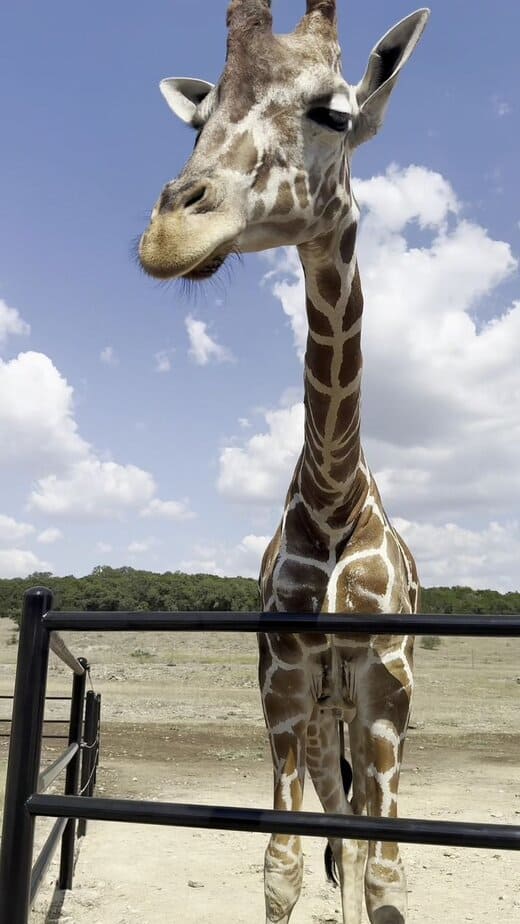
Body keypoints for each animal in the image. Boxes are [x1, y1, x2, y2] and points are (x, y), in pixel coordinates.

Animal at [139, 3, 430, 922]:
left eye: (333, 113)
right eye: (198, 118)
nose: (170, 233)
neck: (335, 493)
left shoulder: (386, 684)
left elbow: (387, 875)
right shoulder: (284, 678)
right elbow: (285, 861)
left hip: (363, 716)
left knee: (365, 835)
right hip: (324, 718)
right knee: (339, 827)